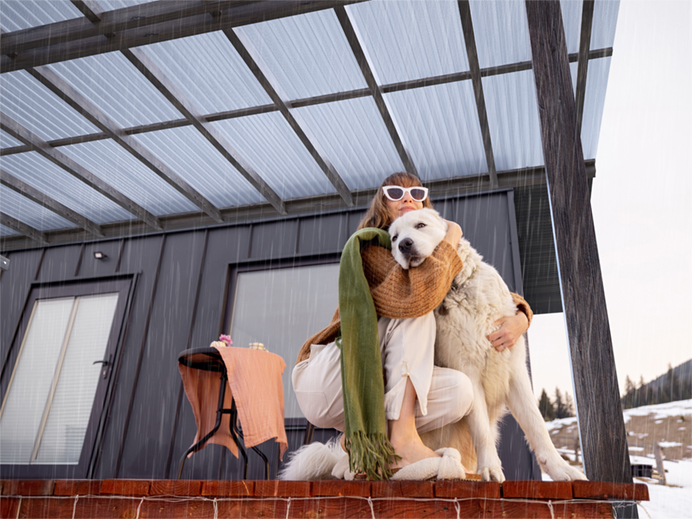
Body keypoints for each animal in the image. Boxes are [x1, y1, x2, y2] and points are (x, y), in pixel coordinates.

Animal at [390, 209, 584, 486]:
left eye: (420, 225)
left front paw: (561, 470)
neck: (456, 288)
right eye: (394, 238)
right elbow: (481, 430)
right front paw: (491, 469)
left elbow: (537, 424)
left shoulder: (515, 372)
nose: (404, 245)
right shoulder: (468, 373)